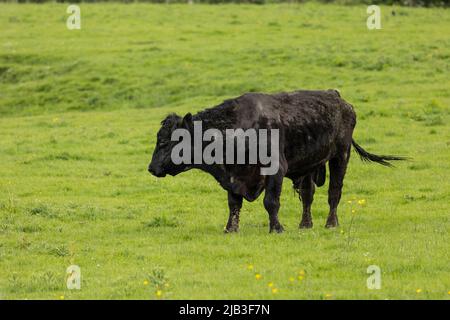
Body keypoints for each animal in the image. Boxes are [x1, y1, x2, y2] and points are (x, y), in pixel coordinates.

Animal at [149, 90, 404, 232]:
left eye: (165, 142)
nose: (151, 168)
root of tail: (337, 98)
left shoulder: (275, 170)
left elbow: (271, 202)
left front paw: (277, 227)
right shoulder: (232, 175)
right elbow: (234, 205)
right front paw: (230, 229)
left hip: (340, 156)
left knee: (334, 192)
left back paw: (331, 223)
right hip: (309, 167)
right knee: (308, 195)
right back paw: (305, 225)